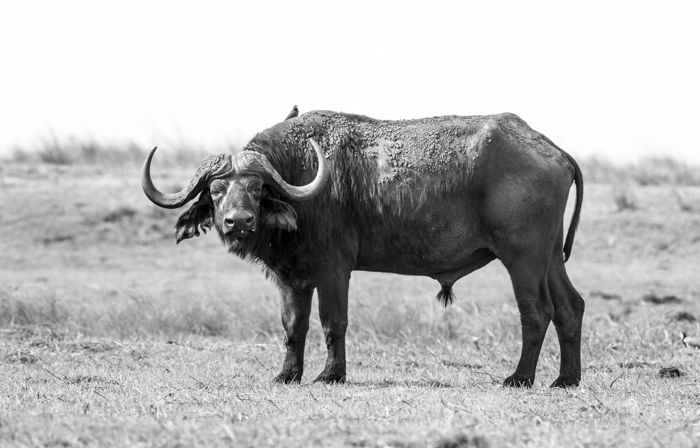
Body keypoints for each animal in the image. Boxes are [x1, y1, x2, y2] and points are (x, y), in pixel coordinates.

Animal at [142, 109, 584, 388]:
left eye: (256, 188)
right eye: (216, 191)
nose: (238, 221)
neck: (301, 176)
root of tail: (550, 148)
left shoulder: (334, 269)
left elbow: (332, 321)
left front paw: (330, 374)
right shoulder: (291, 278)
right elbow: (293, 326)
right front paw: (287, 375)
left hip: (522, 257)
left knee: (536, 311)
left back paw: (520, 378)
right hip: (549, 257)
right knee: (569, 307)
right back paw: (565, 379)